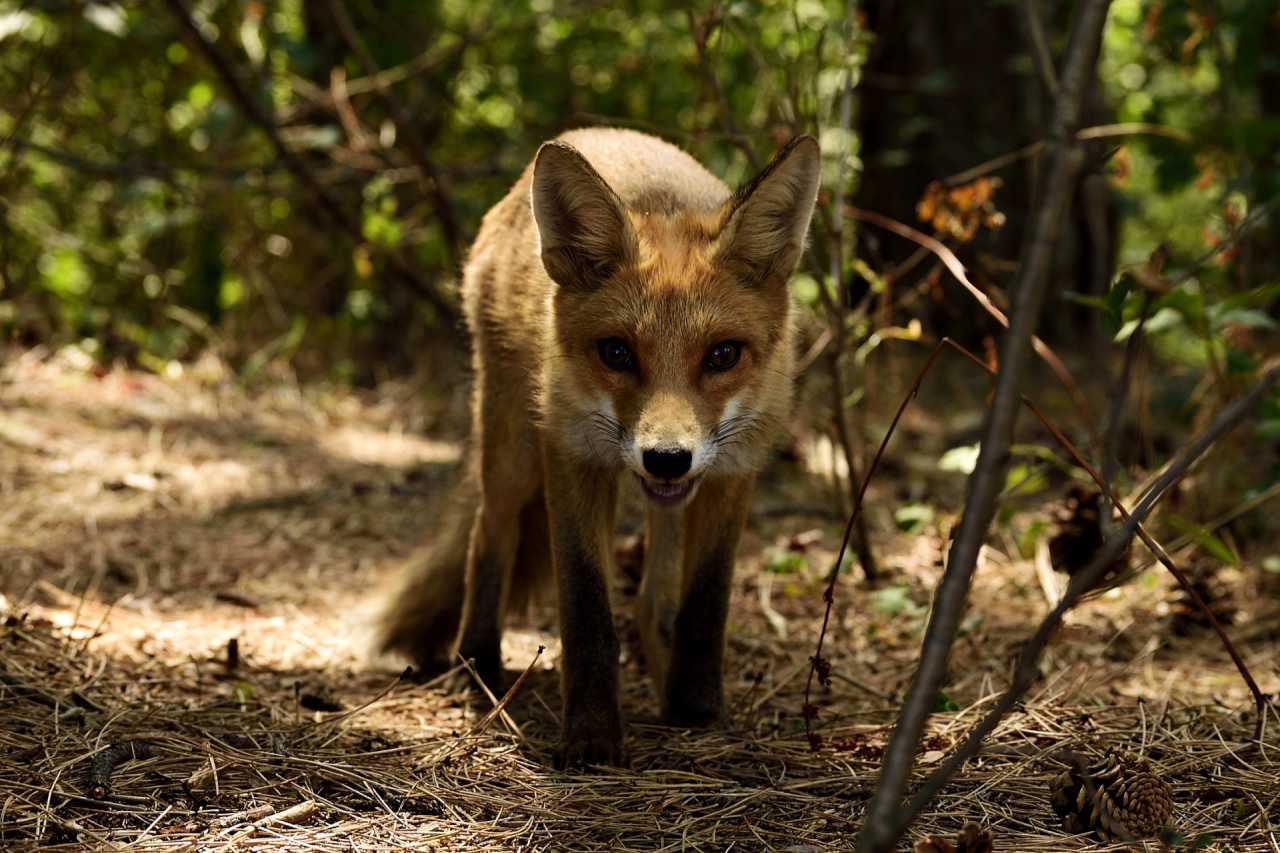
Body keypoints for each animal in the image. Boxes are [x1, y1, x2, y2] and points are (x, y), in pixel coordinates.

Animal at [373, 128, 824, 763]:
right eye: (616, 352)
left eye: (723, 355)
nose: (666, 458)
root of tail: (586, 134)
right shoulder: (571, 456)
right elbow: (586, 611)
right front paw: (590, 735)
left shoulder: (733, 470)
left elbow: (703, 608)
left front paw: (697, 714)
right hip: (512, 450)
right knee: (489, 532)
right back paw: (478, 665)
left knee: (654, 601)